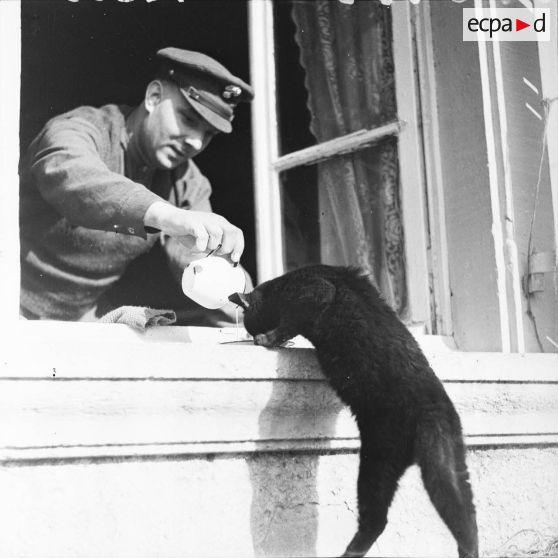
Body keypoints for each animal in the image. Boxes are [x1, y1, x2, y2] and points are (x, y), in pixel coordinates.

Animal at [230, 266, 480, 558]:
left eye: (249, 326)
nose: (249, 335)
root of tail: (434, 406)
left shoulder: (315, 291)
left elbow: (289, 323)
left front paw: (267, 338)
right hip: (450, 463)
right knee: (468, 516)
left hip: (379, 462)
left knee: (379, 519)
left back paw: (350, 551)